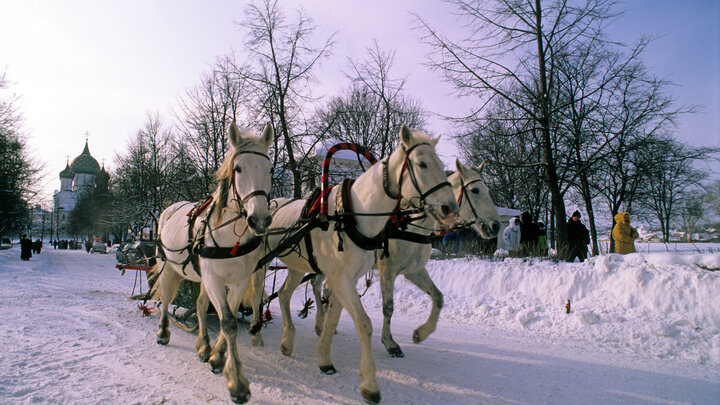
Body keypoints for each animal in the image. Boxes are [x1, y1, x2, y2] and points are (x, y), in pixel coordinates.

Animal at [151, 121, 272, 402]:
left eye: (270, 168)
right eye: (238, 168)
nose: (260, 220)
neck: (230, 233)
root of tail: (169, 207)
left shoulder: (237, 280)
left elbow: (228, 316)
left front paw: (217, 356)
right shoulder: (215, 279)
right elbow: (227, 321)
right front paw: (237, 382)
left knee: (199, 304)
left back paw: (204, 346)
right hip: (167, 267)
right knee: (166, 297)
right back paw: (163, 332)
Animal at [262, 124, 458, 402]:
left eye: (441, 165)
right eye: (422, 164)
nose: (450, 208)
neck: (350, 215)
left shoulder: (349, 278)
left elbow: (335, 317)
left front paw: (324, 357)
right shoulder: (345, 278)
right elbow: (364, 323)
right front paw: (370, 383)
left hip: (298, 267)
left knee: (284, 294)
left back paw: (287, 340)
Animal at [270, 159, 500, 358]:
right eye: (475, 190)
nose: (496, 225)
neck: (408, 224)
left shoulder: (414, 270)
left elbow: (438, 297)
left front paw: (421, 333)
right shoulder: (388, 270)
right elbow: (388, 307)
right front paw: (390, 343)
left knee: (321, 286)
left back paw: (324, 322)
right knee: (317, 286)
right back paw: (319, 322)